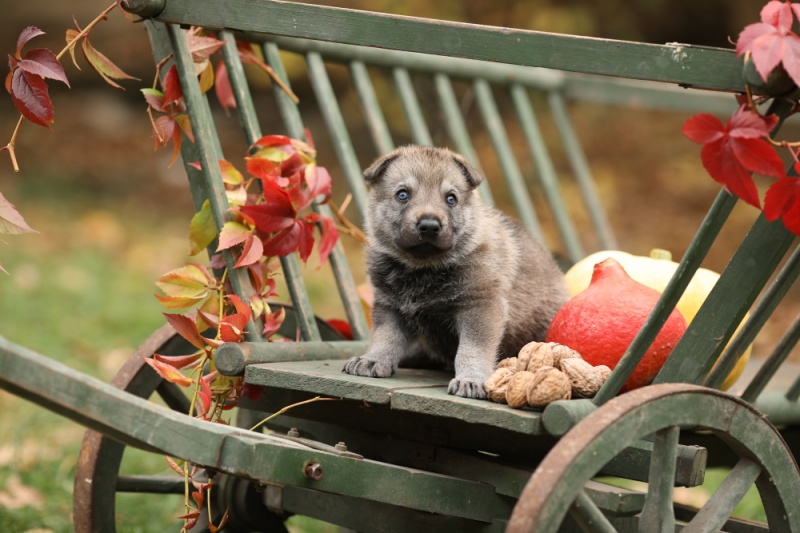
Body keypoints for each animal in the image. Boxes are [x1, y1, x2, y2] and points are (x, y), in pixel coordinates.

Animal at [344, 143, 568, 396]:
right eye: (402, 194)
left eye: (451, 198)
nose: (429, 225)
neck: (422, 268)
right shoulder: (390, 306)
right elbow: (385, 337)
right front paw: (373, 359)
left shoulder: (480, 308)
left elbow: (471, 350)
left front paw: (470, 379)